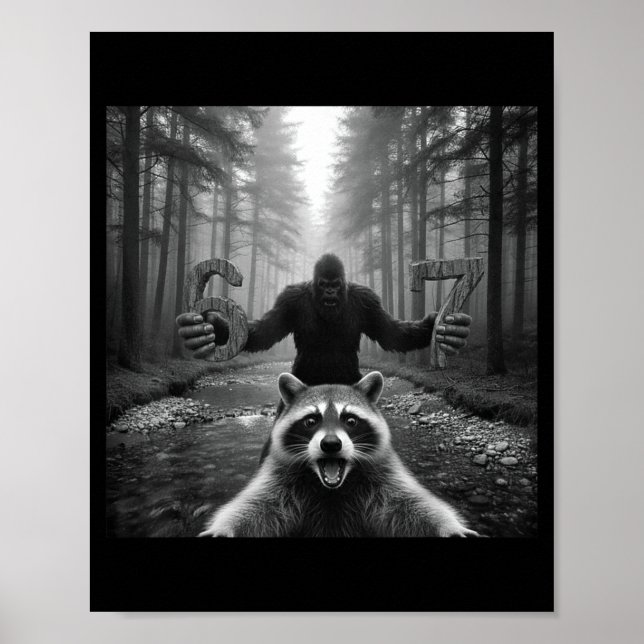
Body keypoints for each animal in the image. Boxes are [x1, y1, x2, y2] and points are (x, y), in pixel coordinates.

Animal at [200, 371, 480, 538]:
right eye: (311, 420)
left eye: (351, 420)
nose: (331, 444)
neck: (332, 489)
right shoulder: (280, 476)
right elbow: (259, 507)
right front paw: (226, 528)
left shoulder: (383, 474)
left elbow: (408, 506)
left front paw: (446, 526)